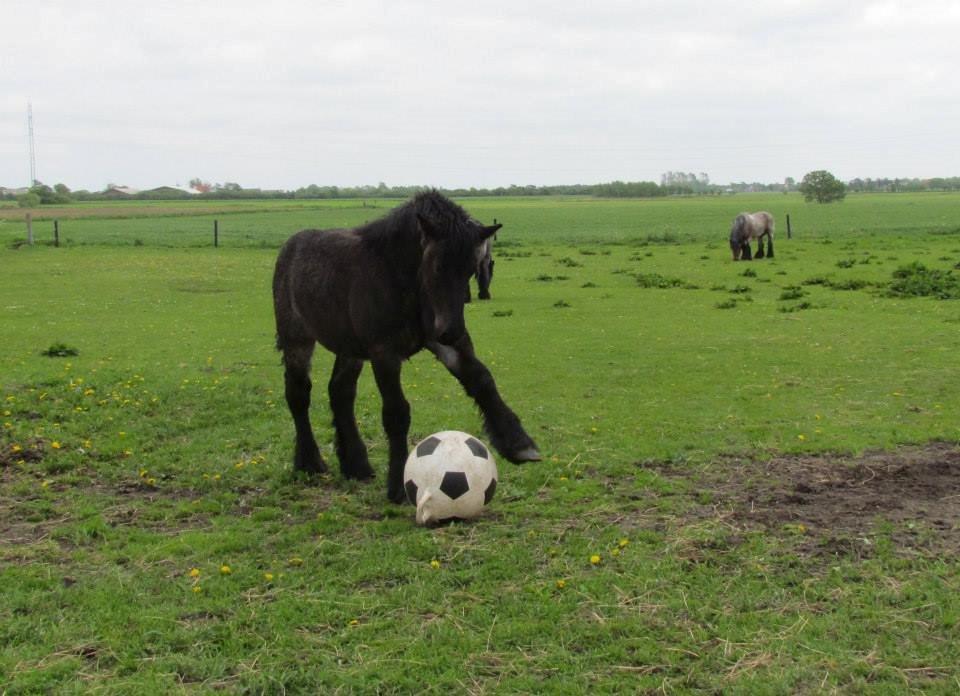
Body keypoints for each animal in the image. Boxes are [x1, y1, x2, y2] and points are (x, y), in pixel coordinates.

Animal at [272, 193, 540, 502]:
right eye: (437, 266)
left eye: (470, 270)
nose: (452, 331)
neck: (399, 277)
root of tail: (289, 248)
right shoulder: (384, 353)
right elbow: (396, 413)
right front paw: (399, 486)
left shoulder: (441, 342)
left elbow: (481, 379)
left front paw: (519, 443)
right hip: (297, 339)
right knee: (298, 394)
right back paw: (310, 462)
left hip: (349, 347)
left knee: (340, 392)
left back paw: (356, 465)